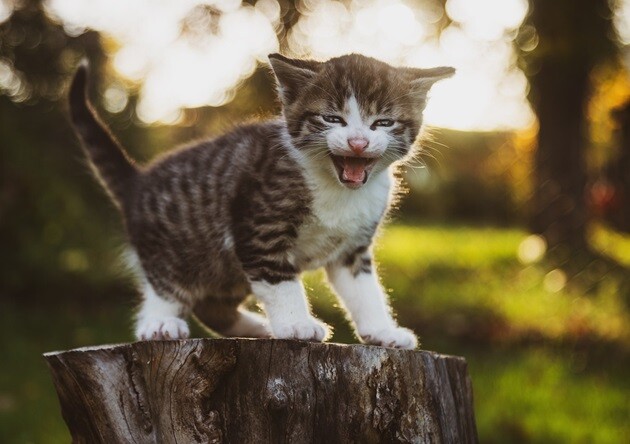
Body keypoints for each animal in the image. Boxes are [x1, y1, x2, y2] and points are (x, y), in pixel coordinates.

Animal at [70, 53, 454, 350]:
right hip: (178, 245)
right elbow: (278, 279)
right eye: (332, 118)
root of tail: (137, 182)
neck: (338, 189)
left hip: (226, 269)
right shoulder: (258, 223)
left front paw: (382, 331)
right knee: (165, 283)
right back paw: (159, 323)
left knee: (213, 306)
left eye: (383, 123)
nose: (358, 142)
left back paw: (256, 328)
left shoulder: (353, 249)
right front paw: (296, 324)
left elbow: (365, 291)